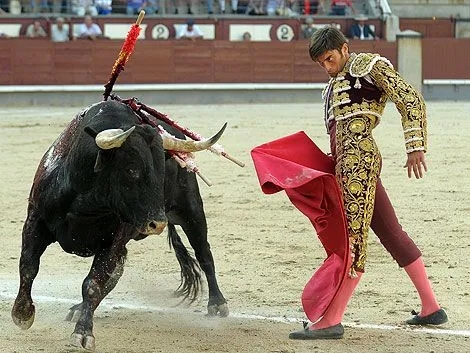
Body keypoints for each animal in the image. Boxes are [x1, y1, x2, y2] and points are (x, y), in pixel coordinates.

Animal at [11, 99, 229, 350]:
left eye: (162, 171)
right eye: (131, 169)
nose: (158, 223)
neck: (87, 202)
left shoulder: (112, 241)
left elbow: (92, 284)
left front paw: (83, 333)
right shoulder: (35, 221)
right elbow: (28, 266)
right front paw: (22, 313)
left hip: (191, 209)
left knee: (204, 254)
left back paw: (217, 303)